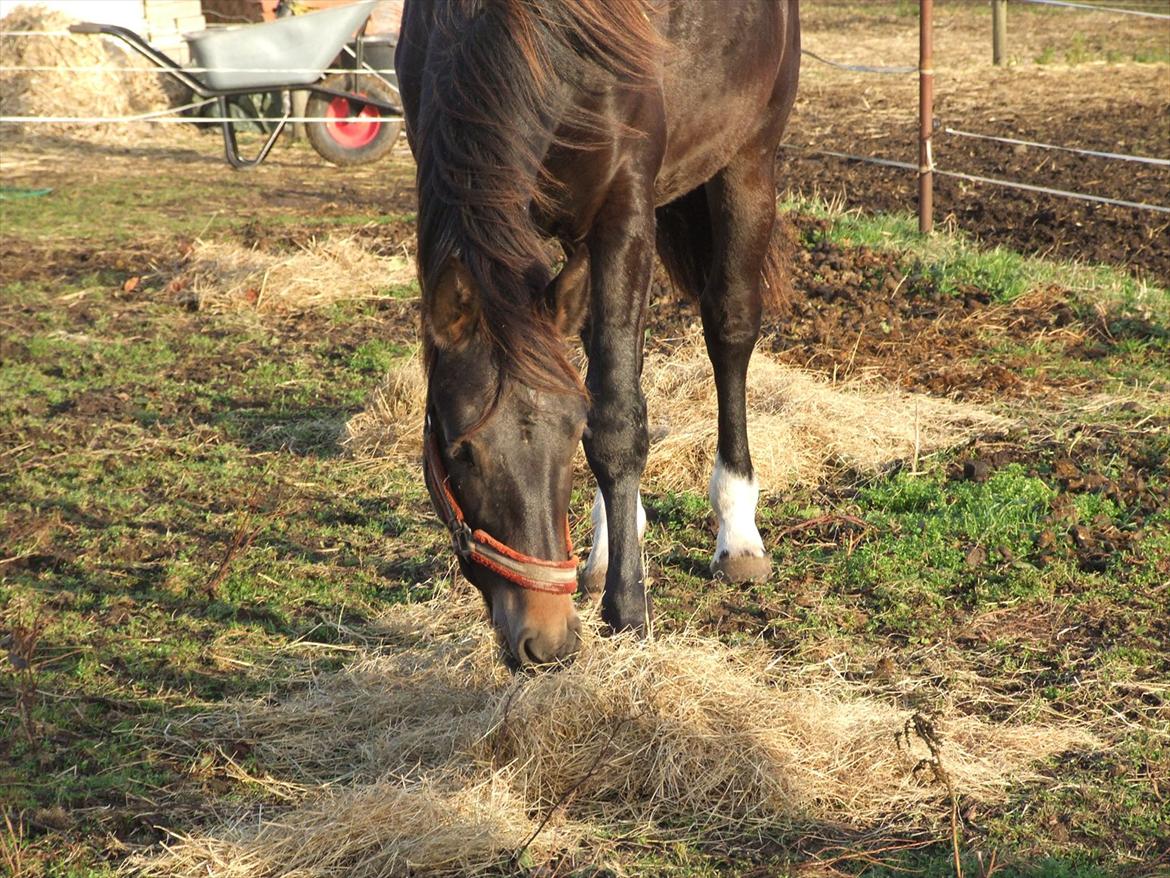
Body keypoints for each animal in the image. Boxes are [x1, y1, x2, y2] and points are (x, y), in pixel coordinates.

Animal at [397, 0, 800, 669]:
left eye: (565, 440)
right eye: (460, 452)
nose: (546, 639)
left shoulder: (624, 211)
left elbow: (613, 420)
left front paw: (629, 610)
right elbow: (605, 391)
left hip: (749, 159)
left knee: (729, 330)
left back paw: (738, 532)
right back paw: (610, 546)